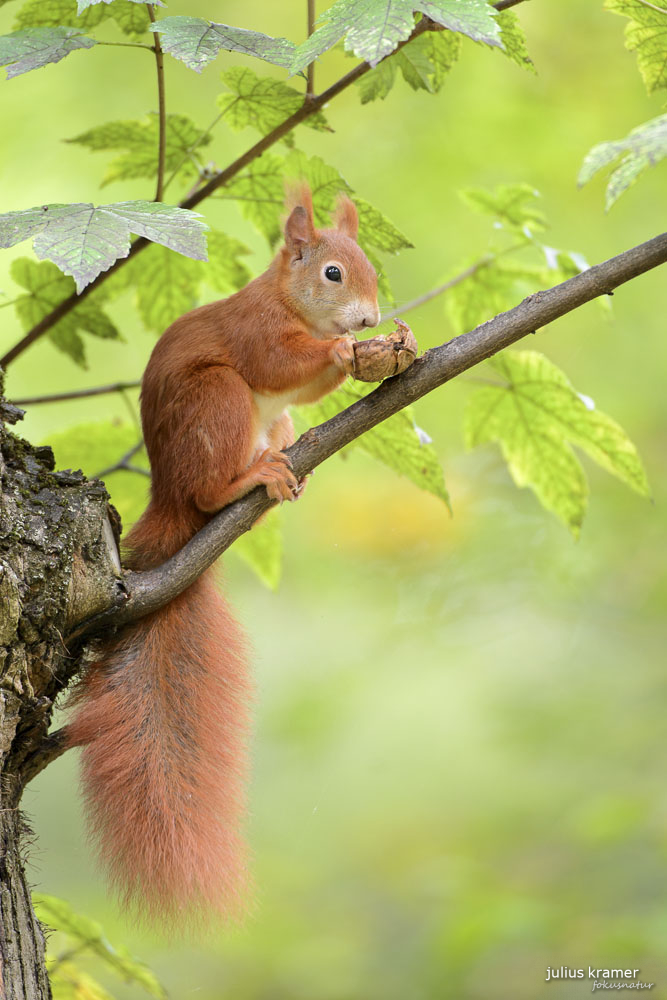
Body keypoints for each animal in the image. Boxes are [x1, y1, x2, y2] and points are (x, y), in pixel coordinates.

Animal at [68, 186, 380, 920]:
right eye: (333, 273)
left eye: (371, 267)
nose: (370, 318)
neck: (287, 302)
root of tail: (170, 495)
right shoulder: (255, 334)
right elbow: (281, 365)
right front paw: (345, 350)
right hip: (218, 403)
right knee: (211, 489)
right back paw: (251, 479)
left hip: (262, 419)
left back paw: (284, 461)